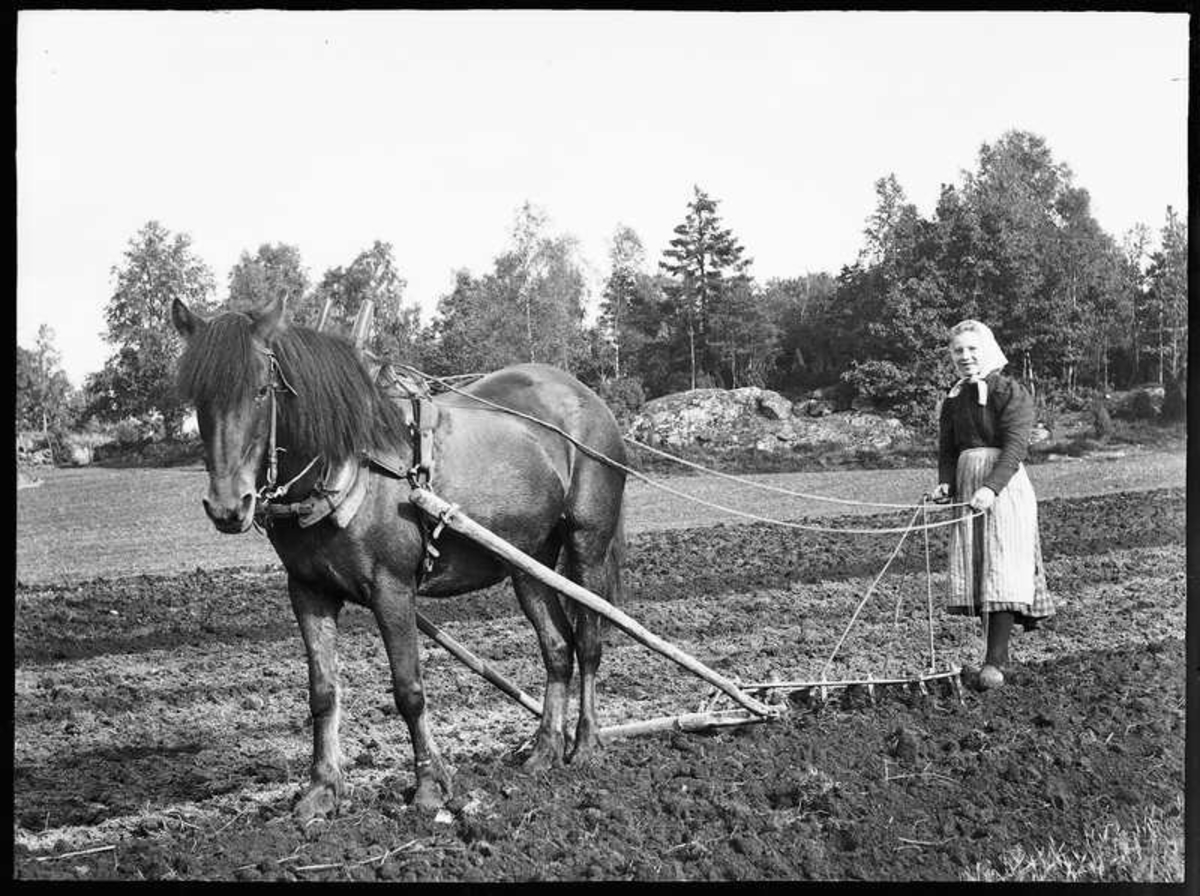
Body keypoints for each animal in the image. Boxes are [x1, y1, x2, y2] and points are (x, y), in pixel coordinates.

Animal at [171, 293, 627, 819]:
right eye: (198, 396)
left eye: (262, 390)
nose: (228, 506)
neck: (346, 467)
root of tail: (585, 396)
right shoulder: (307, 591)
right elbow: (323, 691)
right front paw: (321, 790)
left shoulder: (392, 589)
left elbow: (409, 689)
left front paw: (430, 786)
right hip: (528, 560)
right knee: (557, 647)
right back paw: (545, 749)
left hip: (587, 544)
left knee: (589, 642)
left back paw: (587, 745)